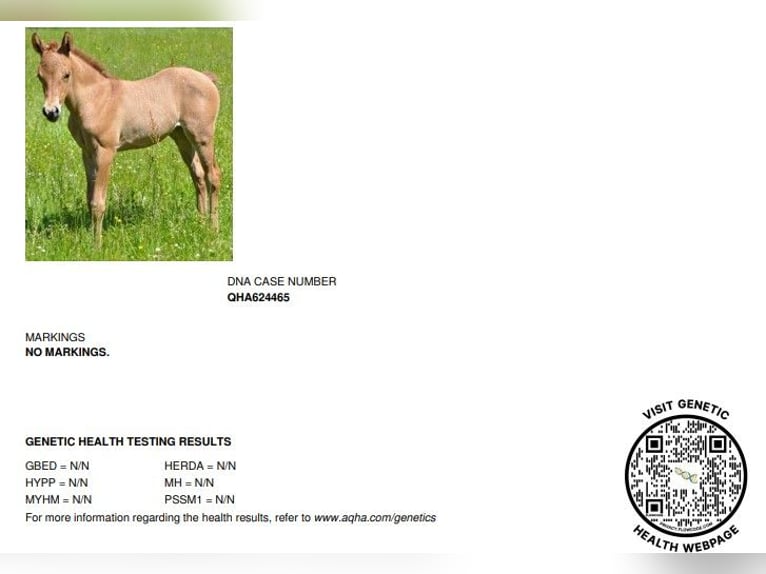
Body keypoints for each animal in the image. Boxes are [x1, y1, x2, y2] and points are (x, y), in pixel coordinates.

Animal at [31, 31, 221, 247]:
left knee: (213, 176)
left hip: (202, 137)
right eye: (40, 76)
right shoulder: (87, 152)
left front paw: (97, 246)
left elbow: (98, 202)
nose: (51, 112)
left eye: (66, 75)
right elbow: (90, 198)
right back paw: (200, 222)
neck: (96, 99)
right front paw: (91, 238)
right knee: (198, 175)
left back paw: (213, 229)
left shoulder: (105, 151)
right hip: (182, 137)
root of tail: (206, 78)